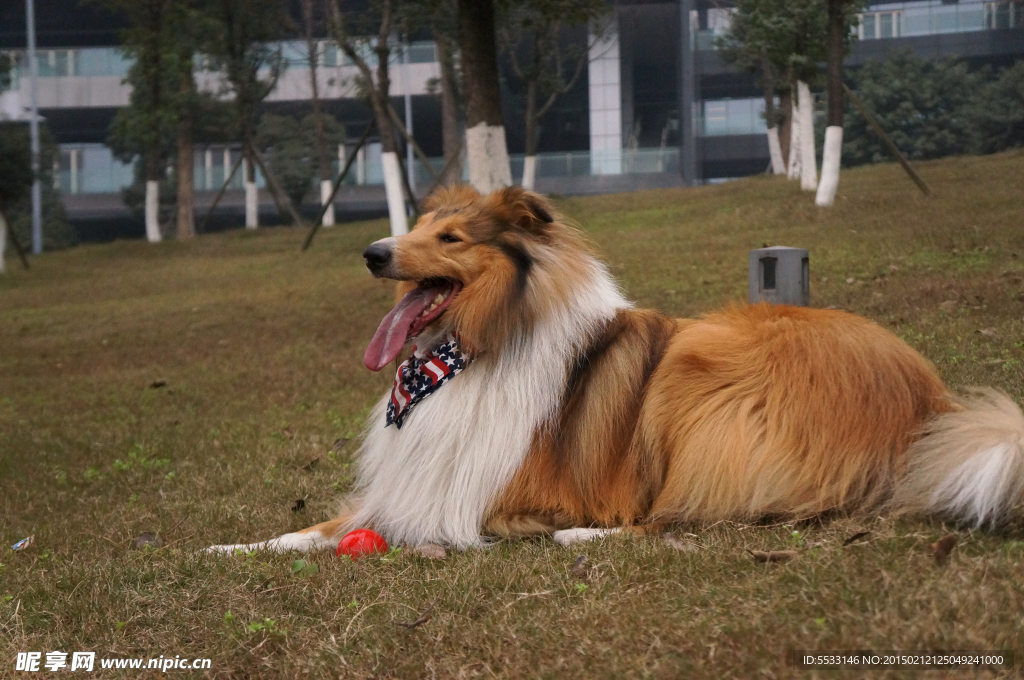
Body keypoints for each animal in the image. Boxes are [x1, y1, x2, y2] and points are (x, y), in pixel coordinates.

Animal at [207, 184, 1024, 553]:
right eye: (414, 227)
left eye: (450, 238)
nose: (373, 253)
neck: (472, 351)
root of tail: (929, 406)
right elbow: (318, 527)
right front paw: (236, 548)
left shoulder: (492, 489)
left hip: (700, 368)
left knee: (675, 518)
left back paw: (577, 538)